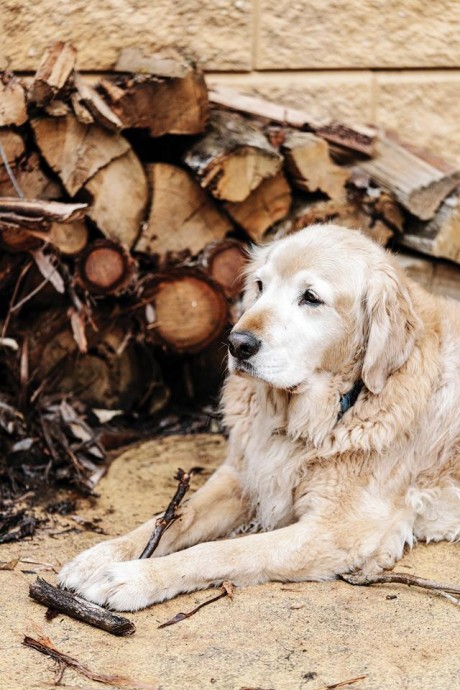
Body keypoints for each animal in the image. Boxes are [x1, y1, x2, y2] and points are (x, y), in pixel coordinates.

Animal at [58, 224, 460, 608]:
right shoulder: (241, 474)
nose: (237, 344)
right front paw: (102, 556)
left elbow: (218, 551)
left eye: (310, 298)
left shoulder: (340, 528)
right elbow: (176, 516)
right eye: (261, 286)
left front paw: (134, 578)